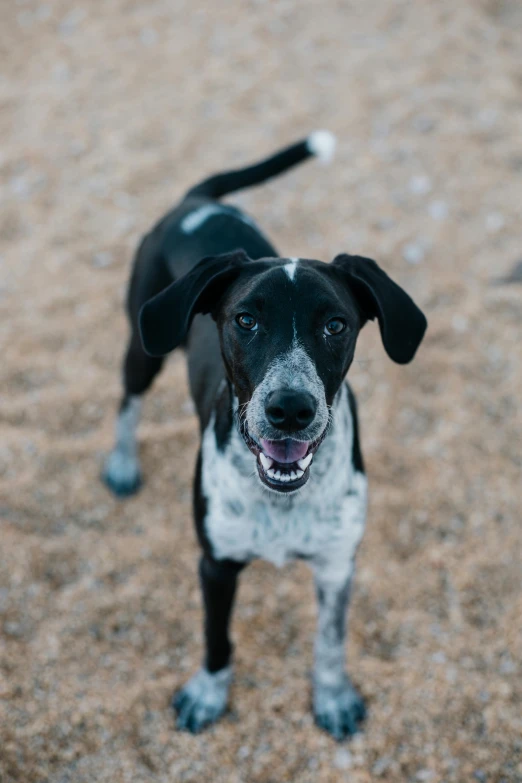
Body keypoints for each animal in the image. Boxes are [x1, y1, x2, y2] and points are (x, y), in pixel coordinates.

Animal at [102, 135, 426, 740]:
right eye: (245, 320)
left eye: (336, 325)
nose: (290, 409)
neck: (282, 499)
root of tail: (197, 202)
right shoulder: (215, 562)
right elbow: (216, 638)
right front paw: (207, 694)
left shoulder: (337, 564)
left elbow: (330, 643)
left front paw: (333, 697)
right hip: (142, 344)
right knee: (128, 401)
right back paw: (121, 462)